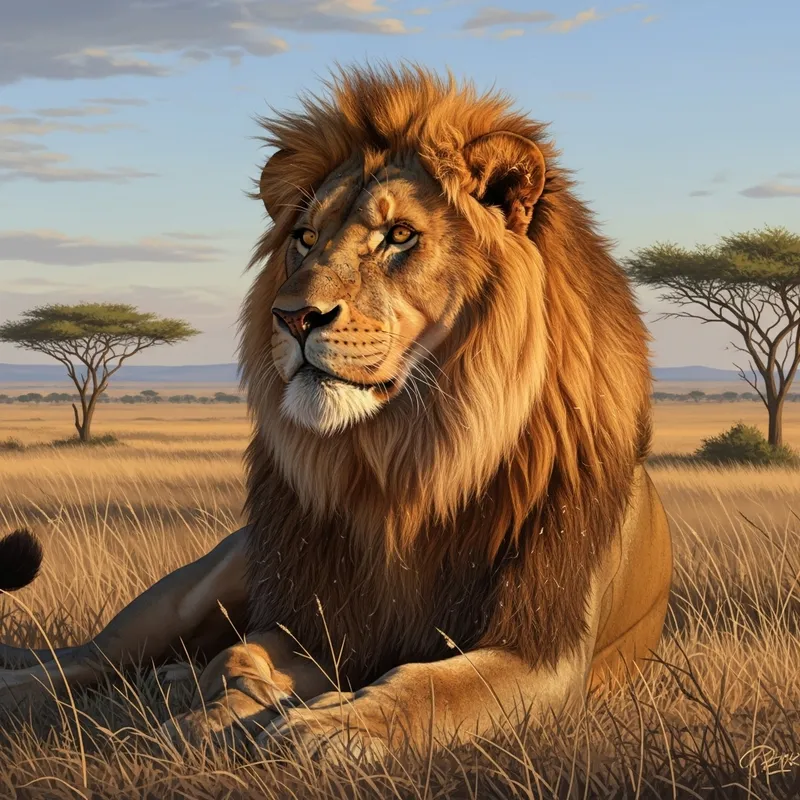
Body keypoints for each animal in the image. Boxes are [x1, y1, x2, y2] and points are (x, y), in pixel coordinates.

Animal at [0, 64, 673, 761]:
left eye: (399, 235)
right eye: (305, 238)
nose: (293, 317)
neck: (408, 460)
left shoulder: (544, 651)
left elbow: (429, 686)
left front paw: (331, 726)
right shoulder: (312, 615)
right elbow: (240, 659)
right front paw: (219, 717)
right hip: (199, 587)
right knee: (84, 659)